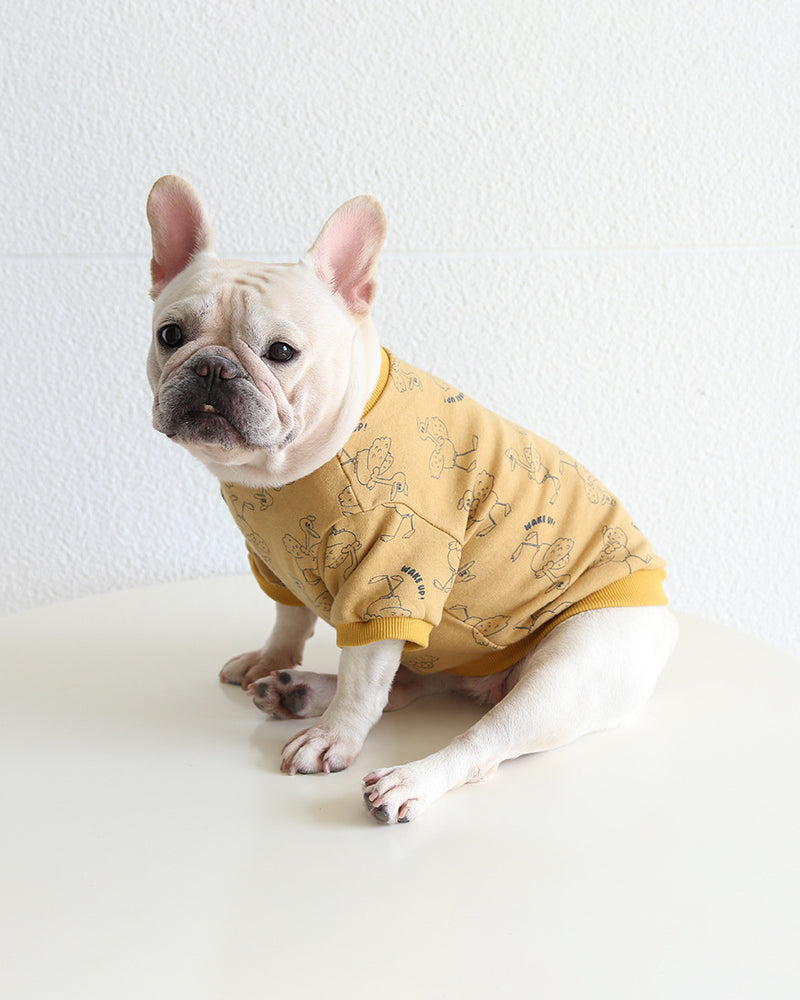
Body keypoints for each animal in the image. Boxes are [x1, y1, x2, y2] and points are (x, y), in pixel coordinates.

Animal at [146, 176, 678, 824]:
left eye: (281, 352)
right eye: (170, 335)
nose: (213, 370)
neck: (292, 470)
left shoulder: (391, 579)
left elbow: (363, 678)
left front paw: (334, 738)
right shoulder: (274, 562)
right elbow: (290, 617)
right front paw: (272, 661)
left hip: (568, 675)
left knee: (481, 742)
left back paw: (406, 778)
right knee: (411, 686)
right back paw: (297, 689)